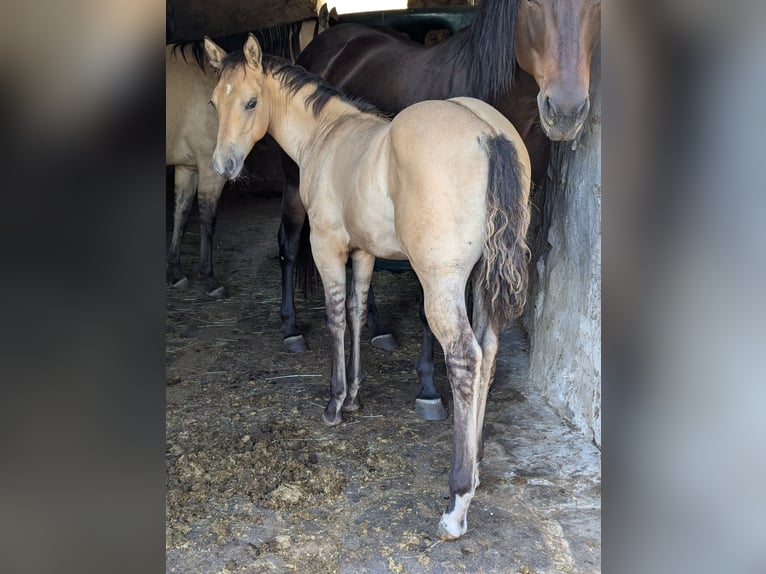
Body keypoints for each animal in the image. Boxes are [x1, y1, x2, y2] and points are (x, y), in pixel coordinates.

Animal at [165, 15, 328, 297]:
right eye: (213, 104)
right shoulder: (211, 170)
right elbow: (207, 219)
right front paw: (209, 278)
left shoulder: (187, 167)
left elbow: (181, 214)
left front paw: (175, 272)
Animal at [203, 34, 531, 541]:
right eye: (215, 102)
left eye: (251, 102)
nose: (225, 165)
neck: (327, 134)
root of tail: (489, 135)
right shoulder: (364, 251)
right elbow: (359, 312)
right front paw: (356, 396)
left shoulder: (327, 245)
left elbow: (337, 317)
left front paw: (336, 402)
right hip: (481, 279)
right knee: (489, 351)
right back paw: (475, 463)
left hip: (441, 283)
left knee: (465, 357)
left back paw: (458, 499)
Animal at [277, 0, 601, 420]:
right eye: (532, 4)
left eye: (597, 6)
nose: (565, 111)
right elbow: (427, 311)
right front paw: (429, 387)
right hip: (296, 191)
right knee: (288, 246)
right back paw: (291, 329)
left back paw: (379, 328)